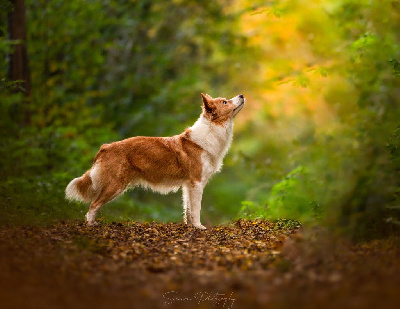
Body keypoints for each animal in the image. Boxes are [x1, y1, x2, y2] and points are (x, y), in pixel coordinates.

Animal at [65, 92, 244, 227]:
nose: (242, 95)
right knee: (93, 204)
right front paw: (199, 227)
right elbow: (196, 209)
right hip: (115, 185)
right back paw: (91, 225)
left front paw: (189, 226)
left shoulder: (188, 185)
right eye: (225, 101)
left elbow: (188, 210)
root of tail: (106, 147)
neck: (212, 131)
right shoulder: (197, 183)